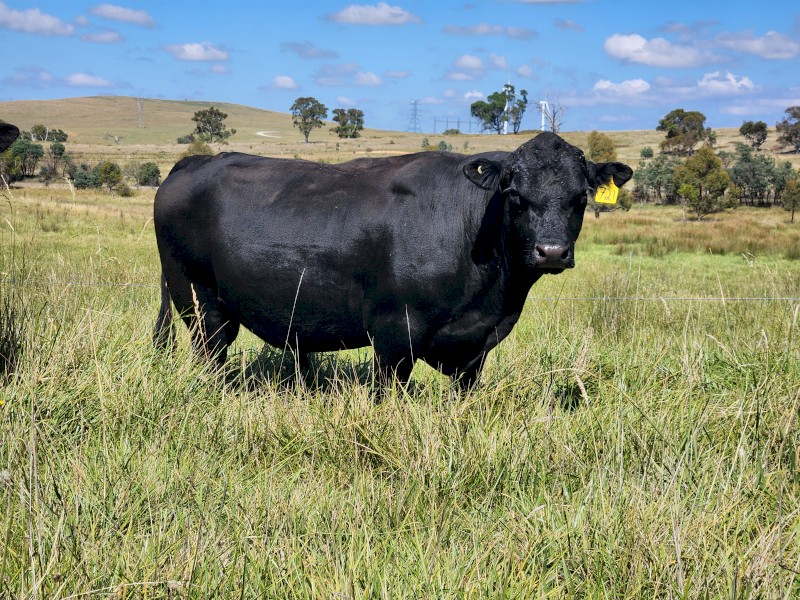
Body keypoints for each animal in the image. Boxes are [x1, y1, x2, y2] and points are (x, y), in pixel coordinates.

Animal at [153, 132, 632, 389]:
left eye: (580, 197)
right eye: (514, 194)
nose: (551, 251)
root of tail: (193, 162)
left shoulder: (477, 345)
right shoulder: (394, 331)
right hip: (200, 301)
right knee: (212, 355)